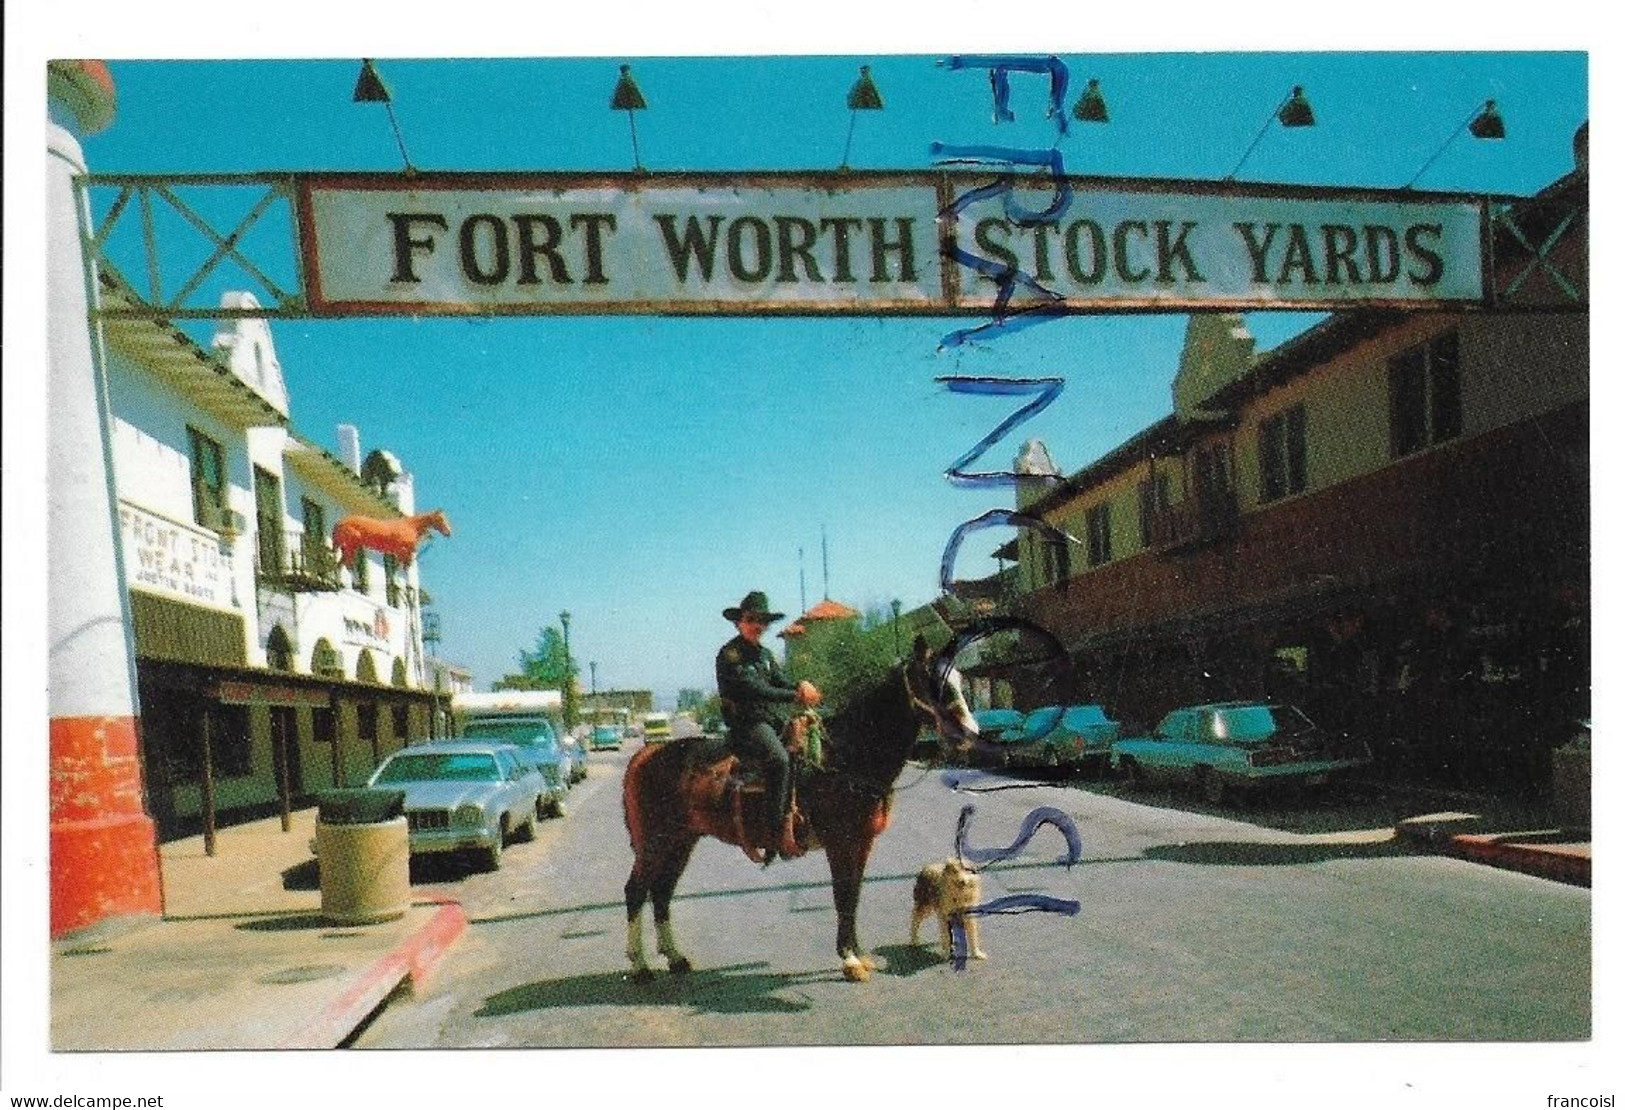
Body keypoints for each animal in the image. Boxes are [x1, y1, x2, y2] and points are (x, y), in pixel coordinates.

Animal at [620, 646, 975, 988]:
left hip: (680, 841)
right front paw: (849, 960)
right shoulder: (840, 844)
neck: (846, 757)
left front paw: (859, 955)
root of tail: (646, 754)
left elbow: (853, 897)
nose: (970, 734)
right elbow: (842, 896)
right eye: (935, 683)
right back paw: (640, 968)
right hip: (655, 842)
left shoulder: (861, 844)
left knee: (662, 892)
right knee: (636, 891)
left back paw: (675, 958)